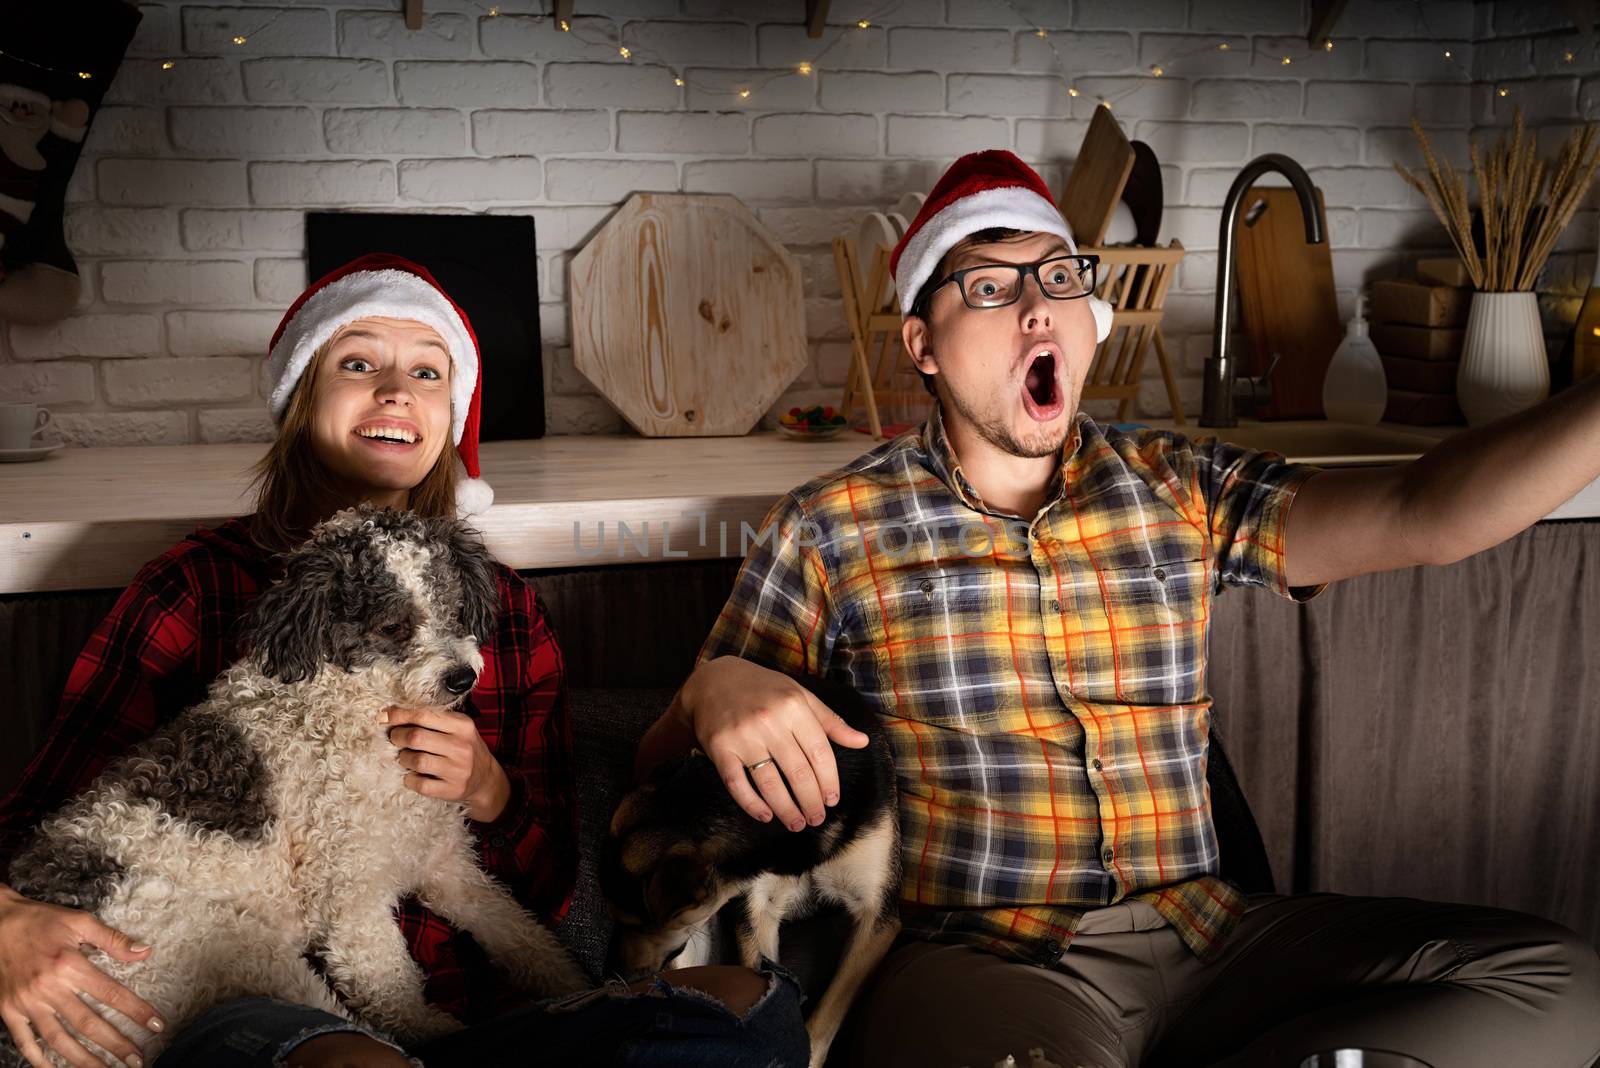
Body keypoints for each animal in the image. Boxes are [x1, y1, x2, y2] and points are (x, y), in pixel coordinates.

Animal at [1, 505, 588, 1061]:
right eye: (392, 627)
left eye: (452, 608)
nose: (462, 678)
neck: (357, 716)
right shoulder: (351, 907)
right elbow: (396, 994)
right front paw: (441, 1033)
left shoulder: (446, 864)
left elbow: (522, 935)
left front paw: (578, 986)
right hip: (223, 943)